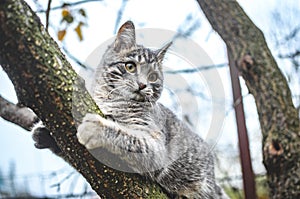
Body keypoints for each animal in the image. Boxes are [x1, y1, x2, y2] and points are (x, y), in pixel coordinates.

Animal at [76, 21, 229, 198]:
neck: (113, 100)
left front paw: (96, 127)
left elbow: (130, 138)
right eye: (130, 66)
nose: (142, 85)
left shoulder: (156, 147)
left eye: (153, 77)